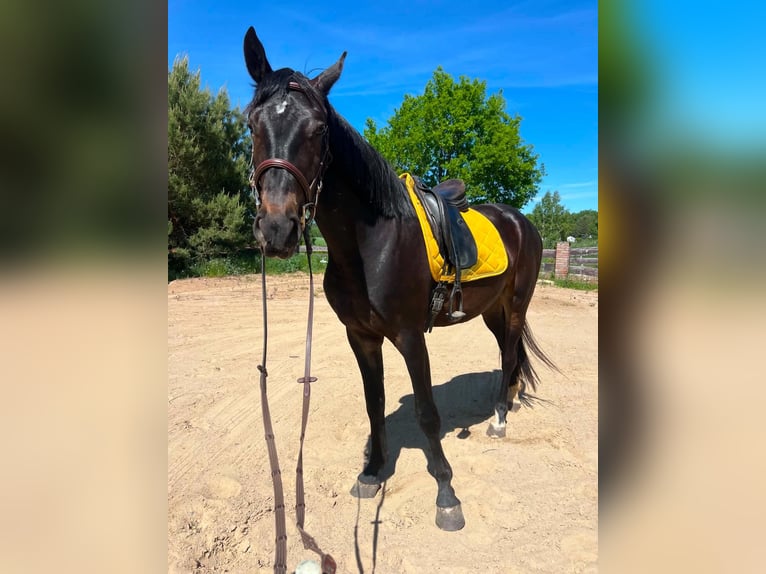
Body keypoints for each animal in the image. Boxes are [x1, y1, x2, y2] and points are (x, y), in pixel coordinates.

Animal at [243, 26, 556, 531]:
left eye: (319, 130)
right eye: (253, 125)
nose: (276, 229)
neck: (369, 246)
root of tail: (520, 220)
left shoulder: (410, 336)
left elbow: (428, 414)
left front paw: (447, 494)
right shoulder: (361, 336)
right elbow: (374, 405)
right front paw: (372, 473)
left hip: (517, 304)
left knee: (510, 354)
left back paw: (499, 420)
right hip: (491, 309)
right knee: (507, 359)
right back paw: (500, 403)